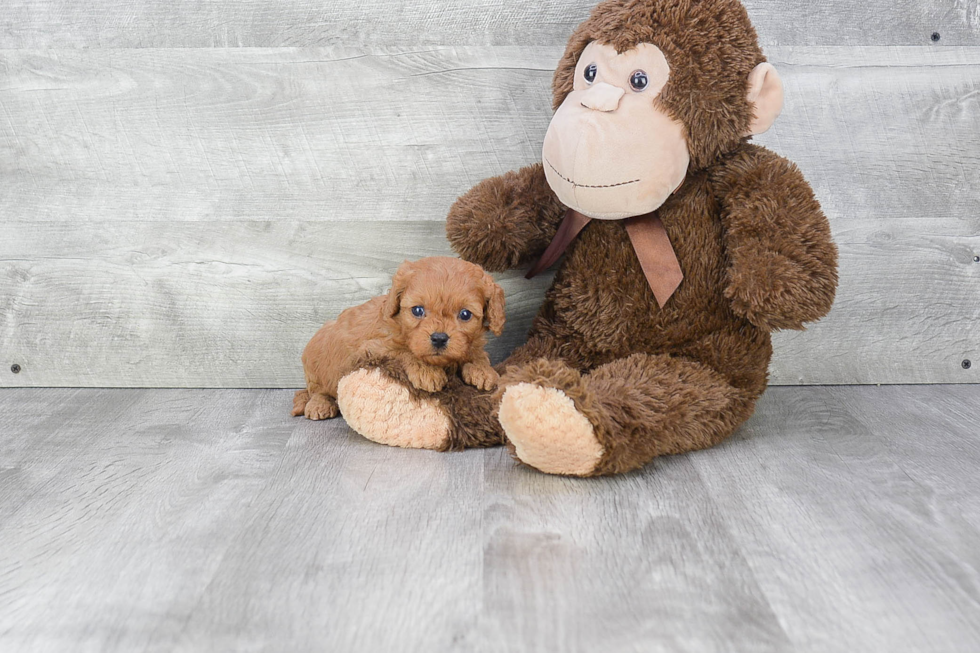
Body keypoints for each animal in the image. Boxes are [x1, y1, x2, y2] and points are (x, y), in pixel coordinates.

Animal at [290, 258, 506, 420]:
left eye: (465, 314)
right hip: (315, 362)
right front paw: (426, 370)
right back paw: (319, 405)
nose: (439, 338)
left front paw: (482, 369)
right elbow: (402, 351)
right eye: (417, 310)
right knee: (316, 391)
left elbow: (474, 352)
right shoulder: (372, 348)